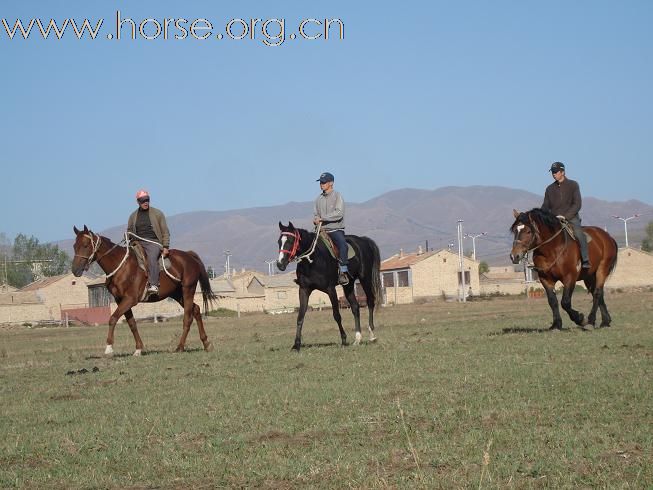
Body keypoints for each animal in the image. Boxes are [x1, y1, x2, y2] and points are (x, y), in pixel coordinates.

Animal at [70, 226, 216, 356]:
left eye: (85, 245)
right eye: (74, 246)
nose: (75, 270)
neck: (122, 267)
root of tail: (189, 256)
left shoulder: (130, 299)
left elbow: (113, 318)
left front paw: (109, 348)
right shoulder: (120, 300)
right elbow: (132, 323)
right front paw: (138, 349)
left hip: (188, 290)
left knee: (187, 318)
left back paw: (180, 347)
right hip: (177, 294)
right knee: (196, 310)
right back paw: (206, 343)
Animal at [276, 220, 382, 350]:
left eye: (290, 241)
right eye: (279, 242)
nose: (280, 264)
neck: (312, 260)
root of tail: (363, 240)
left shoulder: (331, 289)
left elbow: (336, 315)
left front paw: (344, 340)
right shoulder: (304, 290)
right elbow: (300, 317)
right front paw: (296, 345)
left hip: (365, 279)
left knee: (370, 301)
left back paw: (372, 334)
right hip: (348, 285)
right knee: (355, 307)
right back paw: (357, 339)